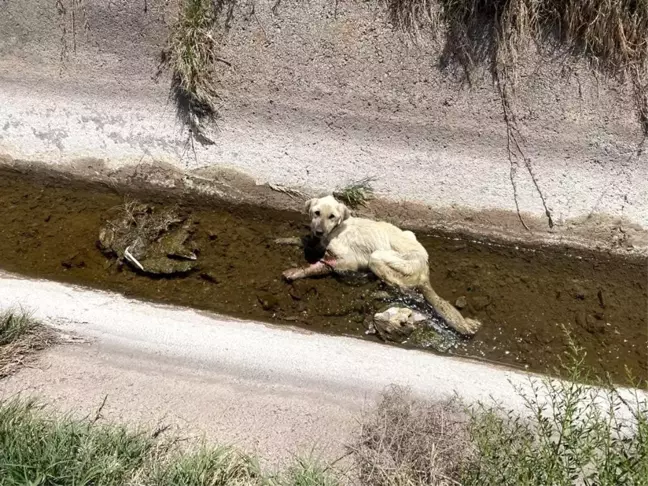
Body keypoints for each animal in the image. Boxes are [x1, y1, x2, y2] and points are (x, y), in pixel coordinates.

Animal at [280, 196, 484, 336]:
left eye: (332, 216)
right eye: (316, 213)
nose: (319, 231)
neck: (337, 228)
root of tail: (424, 269)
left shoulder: (349, 261)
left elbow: (322, 264)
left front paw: (298, 271)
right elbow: (306, 242)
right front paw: (287, 240)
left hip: (381, 258)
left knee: (406, 289)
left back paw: (381, 292)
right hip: (408, 235)